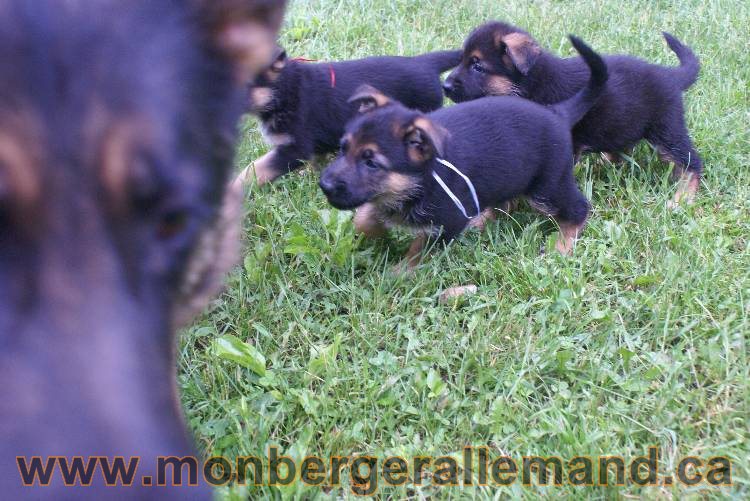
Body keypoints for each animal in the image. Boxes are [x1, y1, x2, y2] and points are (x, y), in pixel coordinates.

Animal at [320, 37, 608, 270]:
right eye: (343, 148)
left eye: (371, 163)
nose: (324, 185)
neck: (424, 176)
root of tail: (557, 112)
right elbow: (365, 217)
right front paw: (373, 236)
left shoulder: (445, 225)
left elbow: (418, 252)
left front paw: (398, 274)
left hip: (548, 186)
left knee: (579, 209)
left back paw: (562, 245)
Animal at [444, 21, 704, 205]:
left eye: (477, 66)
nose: (445, 86)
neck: (533, 83)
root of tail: (669, 76)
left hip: (666, 129)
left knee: (692, 162)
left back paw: (682, 199)